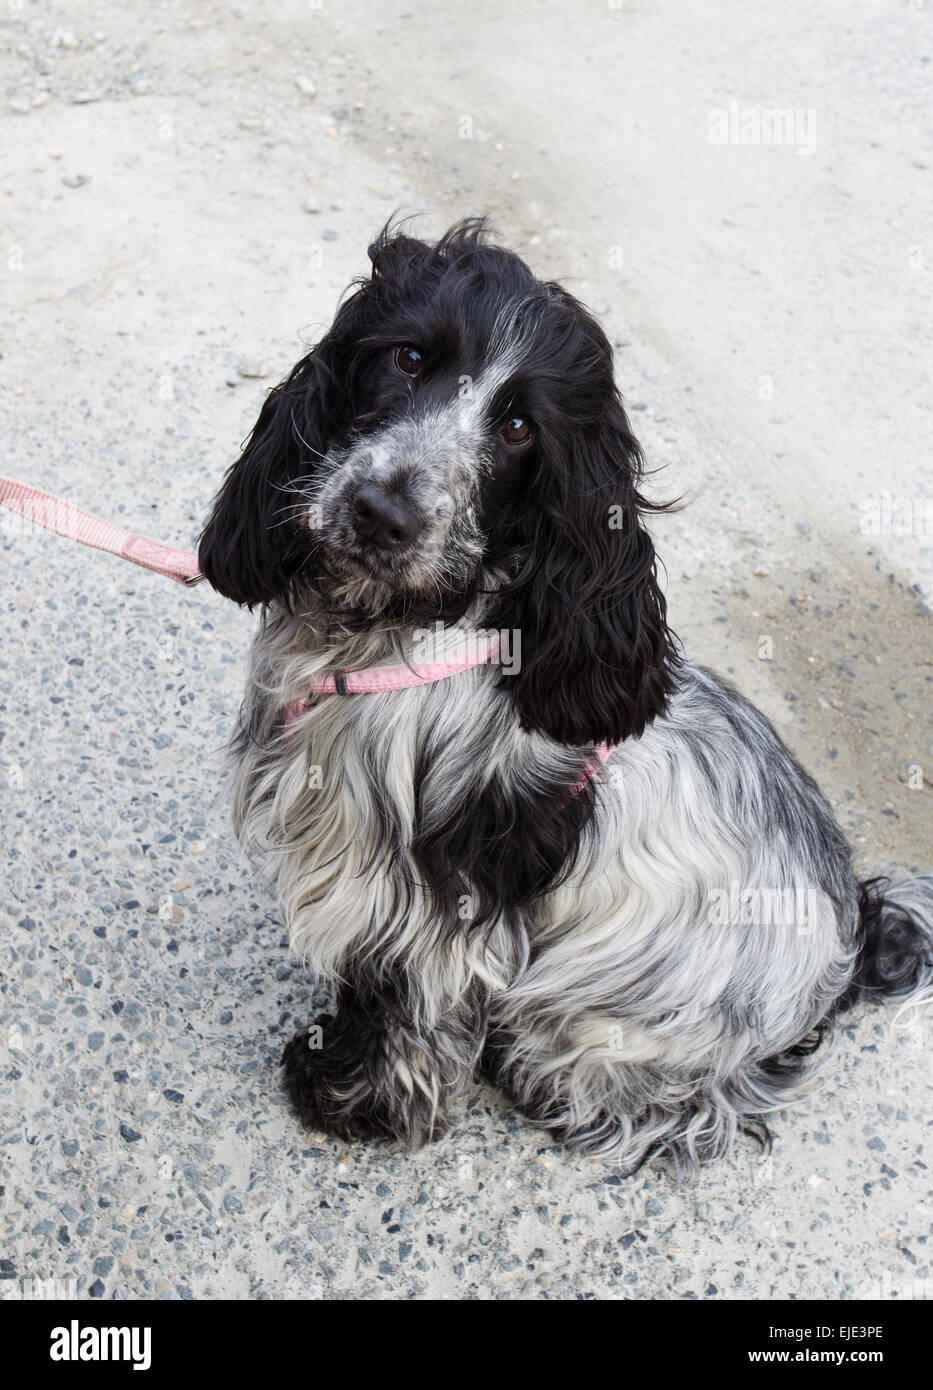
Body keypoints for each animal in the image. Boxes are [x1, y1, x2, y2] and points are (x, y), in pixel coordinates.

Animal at [198, 219, 933, 1173]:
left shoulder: (427, 897)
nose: (380, 513)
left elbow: (404, 1009)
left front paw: (350, 1099)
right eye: (406, 357)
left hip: (609, 1026)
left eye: (518, 427)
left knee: (668, 1106)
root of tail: (848, 954)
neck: (387, 627)